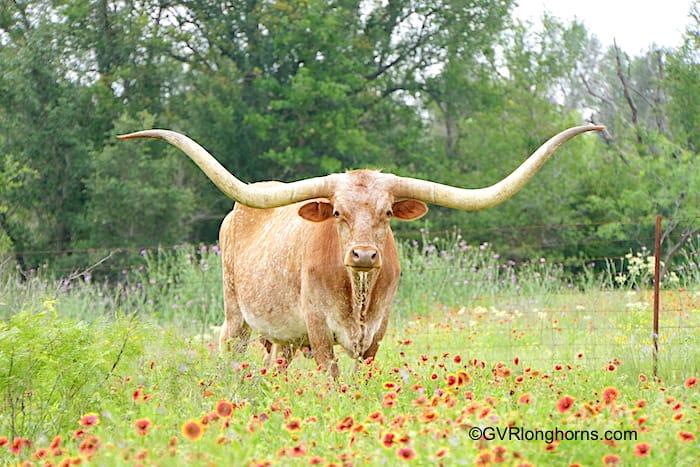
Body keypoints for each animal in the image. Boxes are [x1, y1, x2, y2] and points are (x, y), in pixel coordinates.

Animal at [118, 125, 603, 377]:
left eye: (387, 212)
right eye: (337, 212)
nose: (365, 256)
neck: (358, 295)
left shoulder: (378, 330)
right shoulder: (317, 326)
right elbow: (332, 377)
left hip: (282, 335)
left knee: (277, 363)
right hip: (236, 314)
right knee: (231, 350)